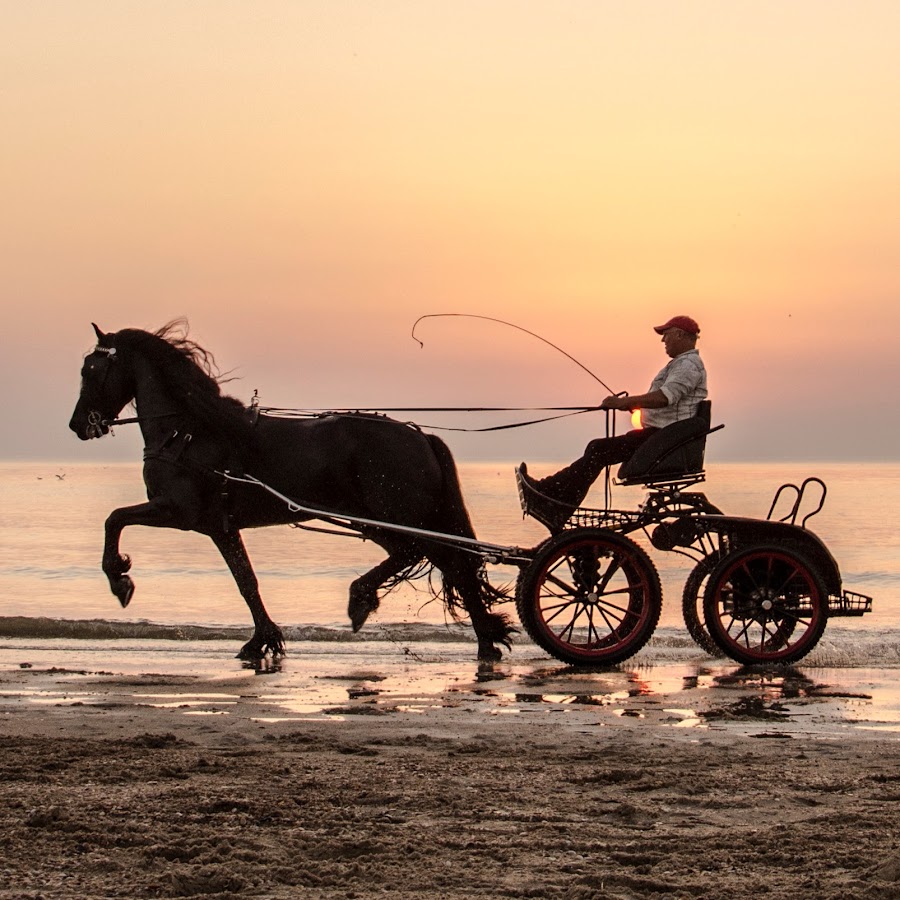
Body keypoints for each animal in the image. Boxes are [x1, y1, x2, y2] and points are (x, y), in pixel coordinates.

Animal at [69, 324, 512, 660]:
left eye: (90, 369)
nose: (77, 425)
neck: (189, 432)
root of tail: (420, 436)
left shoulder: (179, 512)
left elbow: (114, 519)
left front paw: (119, 579)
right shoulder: (220, 527)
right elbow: (246, 581)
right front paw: (263, 639)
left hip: (400, 516)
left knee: (441, 559)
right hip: (379, 520)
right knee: (427, 557)